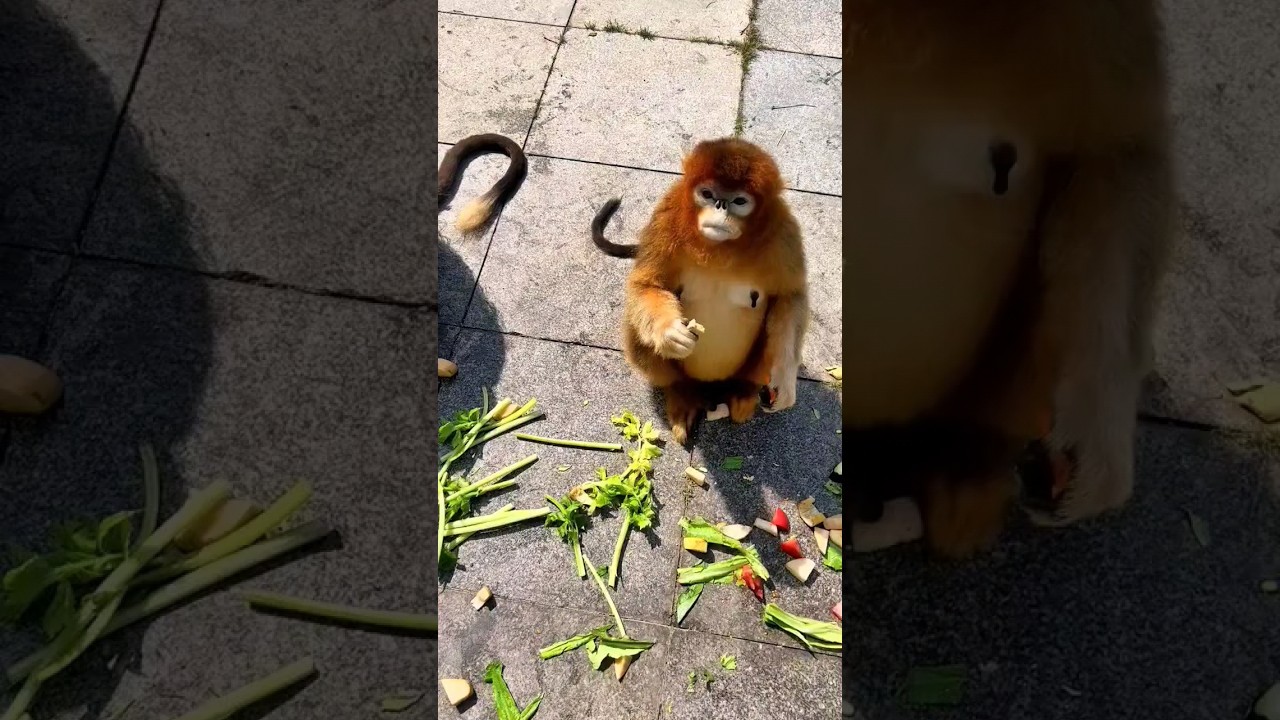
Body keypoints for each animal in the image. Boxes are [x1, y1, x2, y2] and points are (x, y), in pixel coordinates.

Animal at [591, 137, 810, 446]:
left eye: (739, 201)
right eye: (707, 194)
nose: (720, 206)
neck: (721, 250)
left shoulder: (784, 233)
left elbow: (790, 296)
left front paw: (785, 378)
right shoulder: (667, 213)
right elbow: (646, 286)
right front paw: (670, 333)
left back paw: (742, 391)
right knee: (638, 330)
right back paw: (681, 394)